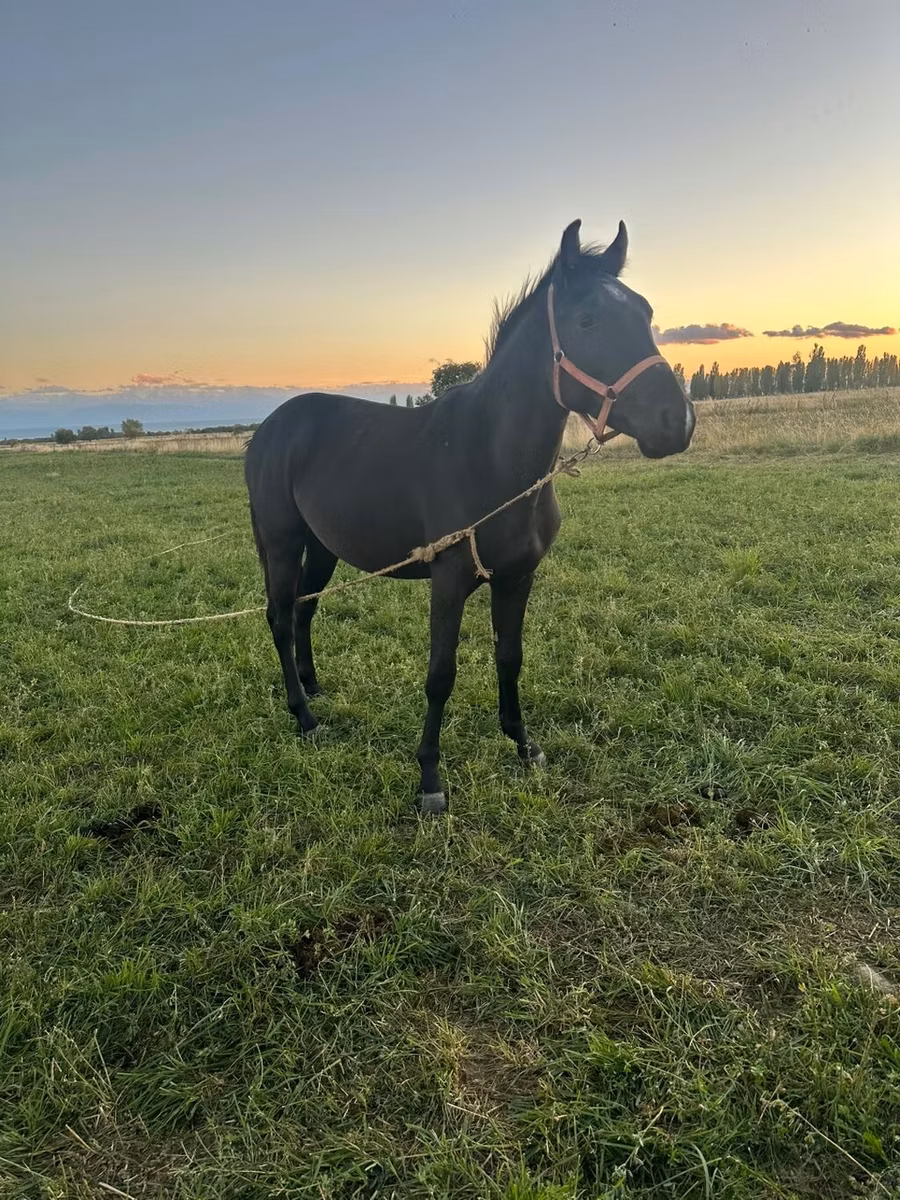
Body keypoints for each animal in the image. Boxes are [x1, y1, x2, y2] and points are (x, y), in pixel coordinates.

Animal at [244, 219, 695, 813]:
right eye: (587, 319)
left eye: (645, 313)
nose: (677, 422)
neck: (491, 459)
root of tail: (267, 430)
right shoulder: (449, 579)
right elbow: (441, 673)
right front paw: (430, 780)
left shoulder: (518, 578)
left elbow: (510, 657)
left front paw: (524, 745)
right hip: (281, 542)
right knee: (278, 615)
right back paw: (304, 716)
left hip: (321, 547)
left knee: (303, 610)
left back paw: (314, 687)